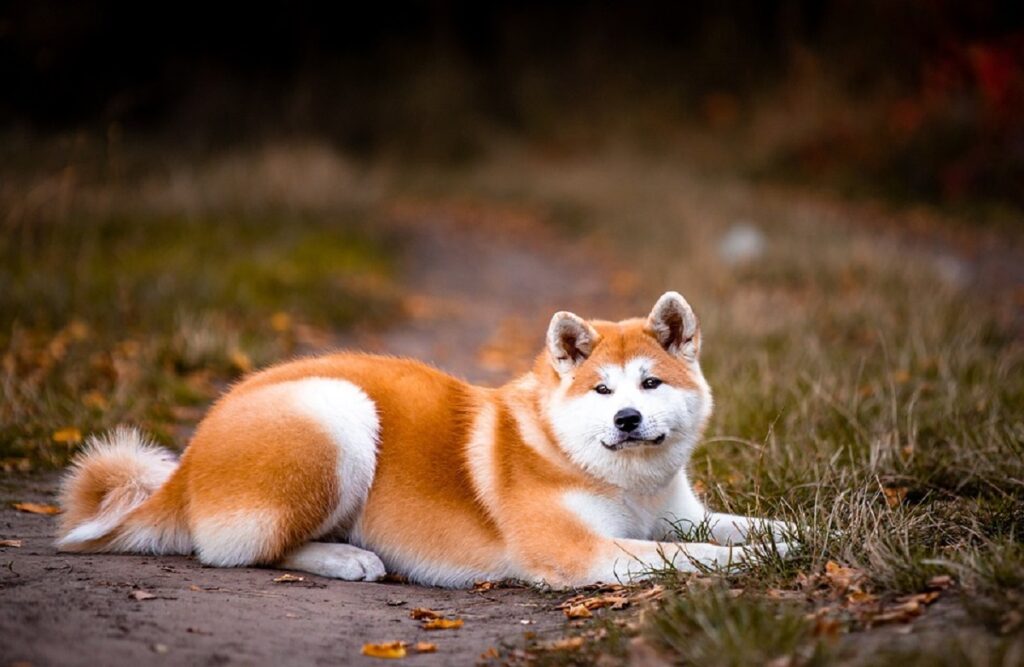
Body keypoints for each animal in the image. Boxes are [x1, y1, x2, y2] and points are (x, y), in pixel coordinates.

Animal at [56, 293, 790, 590]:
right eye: (601, 391)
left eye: (650, 382)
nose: (628, 420)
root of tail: (187, 460)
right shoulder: (579, 549)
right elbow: (687, 555)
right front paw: (748, 562)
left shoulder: (679, 512)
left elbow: (736, 528)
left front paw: (789, 539)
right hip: (340, 412)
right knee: (238, 552)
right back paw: (347, 558)